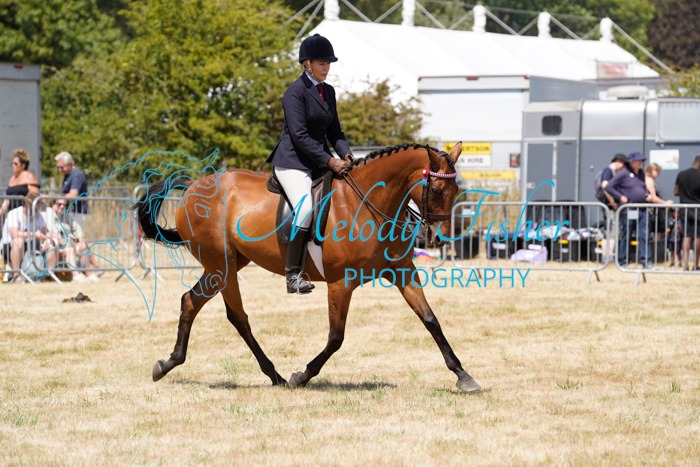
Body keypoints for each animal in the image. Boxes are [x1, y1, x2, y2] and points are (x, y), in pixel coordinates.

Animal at [136, 142, 482, 393]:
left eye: (456, 191)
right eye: (435, 190)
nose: (440, 239)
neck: (368, 204)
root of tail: (195, 186)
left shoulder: (402, 272)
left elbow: (431, 320)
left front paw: (463, 376)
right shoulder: (342, 282)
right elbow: (336, 337)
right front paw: (301, 376)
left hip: (226, 265)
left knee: (193, 303)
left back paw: (171, 364)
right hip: (221, 266)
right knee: (236, 316)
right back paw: (273, 375)